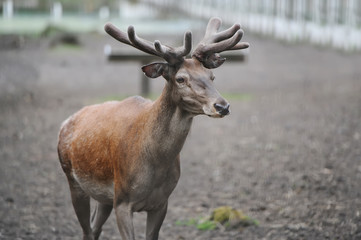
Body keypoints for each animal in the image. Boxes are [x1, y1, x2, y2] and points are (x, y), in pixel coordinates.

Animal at [57, 17, 249, 240]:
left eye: (212, 76)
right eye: (181, 78)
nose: (222, 106)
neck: (154, 164)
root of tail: (66, 123)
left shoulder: (161, 203)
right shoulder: (122, 200)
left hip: (104, 197)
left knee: (95, 229)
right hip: (73, 178)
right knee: (87, 229)